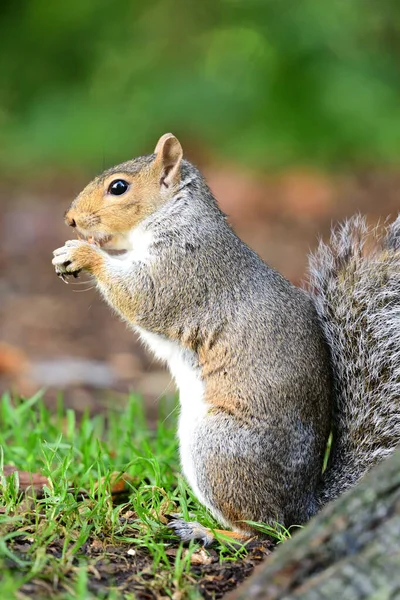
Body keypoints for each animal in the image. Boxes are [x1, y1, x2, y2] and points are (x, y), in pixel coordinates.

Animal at [53, 134, 400, 548]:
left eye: (118, 187)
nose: (71, 219)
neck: (176, 216)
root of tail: (304, 505)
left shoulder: (183, 270)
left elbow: (141, 298)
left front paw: (81, 252)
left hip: (217, 448)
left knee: (260, 530)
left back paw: (203, 529)